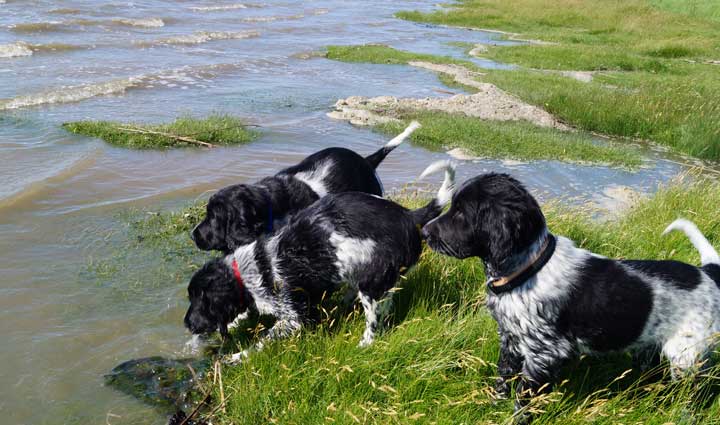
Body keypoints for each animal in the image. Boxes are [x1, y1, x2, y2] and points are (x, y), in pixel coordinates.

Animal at [184, 159, 456, 362]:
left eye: (199, 300)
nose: (186, 324)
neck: (255, 268)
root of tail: (410, 215)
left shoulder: (295, 318)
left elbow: (262, 342)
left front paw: (237, 357)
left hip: (371, 282)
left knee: (374, 323)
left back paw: (362, 345)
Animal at [422, 171, 720, 414]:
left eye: (461, 214)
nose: (423, 231)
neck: (528, 269)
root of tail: (707, 272)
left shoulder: (544, 355)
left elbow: (523, 401)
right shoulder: (510, 340)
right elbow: (503, 380)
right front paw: (491, 407)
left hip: (686, 356)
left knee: (692, 393)